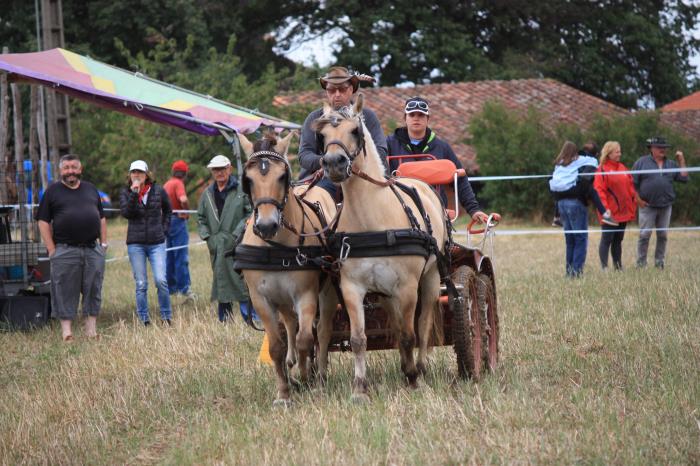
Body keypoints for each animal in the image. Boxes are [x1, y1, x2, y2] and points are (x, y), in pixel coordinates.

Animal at [235, 130, 340, 404]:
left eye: (282, 176)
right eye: (248, 179)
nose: (266, 225)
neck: (276, 246)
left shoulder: (306, 294)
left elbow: (306, 339)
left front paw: (306, 378)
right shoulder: (261, 299)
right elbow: (276, 346)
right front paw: (284, 392)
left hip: (328, 291)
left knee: (322, 332)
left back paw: (318, 375)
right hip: (282, 298)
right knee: (290, 325)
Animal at [314, 94, 448, 400]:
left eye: (355, 131)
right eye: (322, 135)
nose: (334, 163)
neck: (372, 221)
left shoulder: (408, 287)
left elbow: (411, 334)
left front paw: (413, 379)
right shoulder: (352, 287)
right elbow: (358, 339)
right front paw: (359, 387)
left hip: (431, 278)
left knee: (422, 325)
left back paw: (420, 368)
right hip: (386, 294)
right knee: (397, 326)